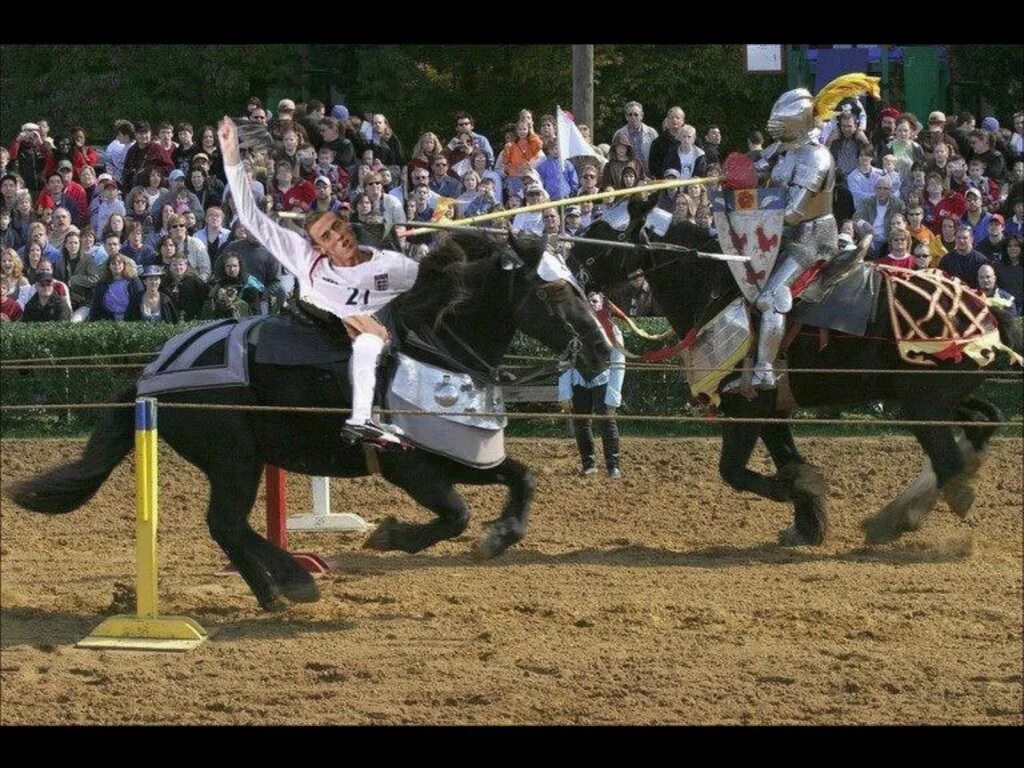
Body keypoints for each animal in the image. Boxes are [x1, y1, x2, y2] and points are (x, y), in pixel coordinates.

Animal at [14, 231, 606, 610]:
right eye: (555, 290)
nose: (602, 351)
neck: (433, 344)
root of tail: (152, 371)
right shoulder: (411, 469)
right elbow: (455, 515)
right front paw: (389, 537)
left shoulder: (461, 454)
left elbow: (522, 478)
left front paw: (499, 537)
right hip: (234, 459)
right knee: (226, 523)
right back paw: (292, 581)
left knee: (229, 526)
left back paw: (275, 589)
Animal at [573, 198, 1019, 548]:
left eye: (601, 234)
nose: (570, 274)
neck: (715, 287)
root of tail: (988, 309)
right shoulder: (774, 414)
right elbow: (786, 458)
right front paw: (807, 523)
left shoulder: (746, 409)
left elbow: (735, 472)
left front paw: (804, 488)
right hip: (938, 398)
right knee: (982, 423)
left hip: (922, 406)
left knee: (949, 461)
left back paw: (902, 519)